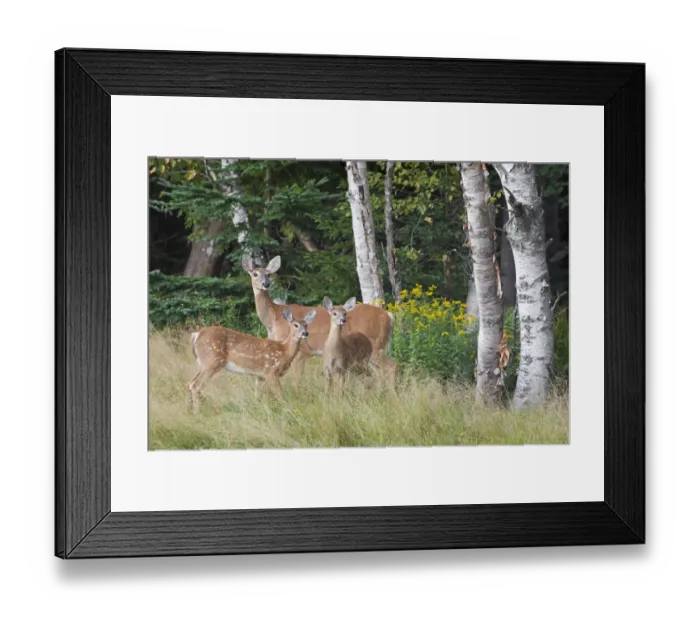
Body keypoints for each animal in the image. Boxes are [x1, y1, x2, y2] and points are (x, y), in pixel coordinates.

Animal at [186, 308, 316, 411]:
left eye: (306, 325)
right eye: (295, 325)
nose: (305, 333)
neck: (284, 351)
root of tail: (196, 335)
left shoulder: (260, 376)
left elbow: (257, 395)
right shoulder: (271, 371)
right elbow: (279, 394)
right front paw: (287, 408)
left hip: (203, 364)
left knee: (190, 383)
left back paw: (189, 411)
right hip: (212, 361)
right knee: (196, 386)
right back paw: (197, 413)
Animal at [242, 255, 397, 386]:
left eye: (268, 274)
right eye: (255, 274)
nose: (266, 284)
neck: (274, 317)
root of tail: (389, 316)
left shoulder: (300, 352)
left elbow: (296, 381)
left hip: (376, 345)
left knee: (391, 367)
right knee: (379, 373)